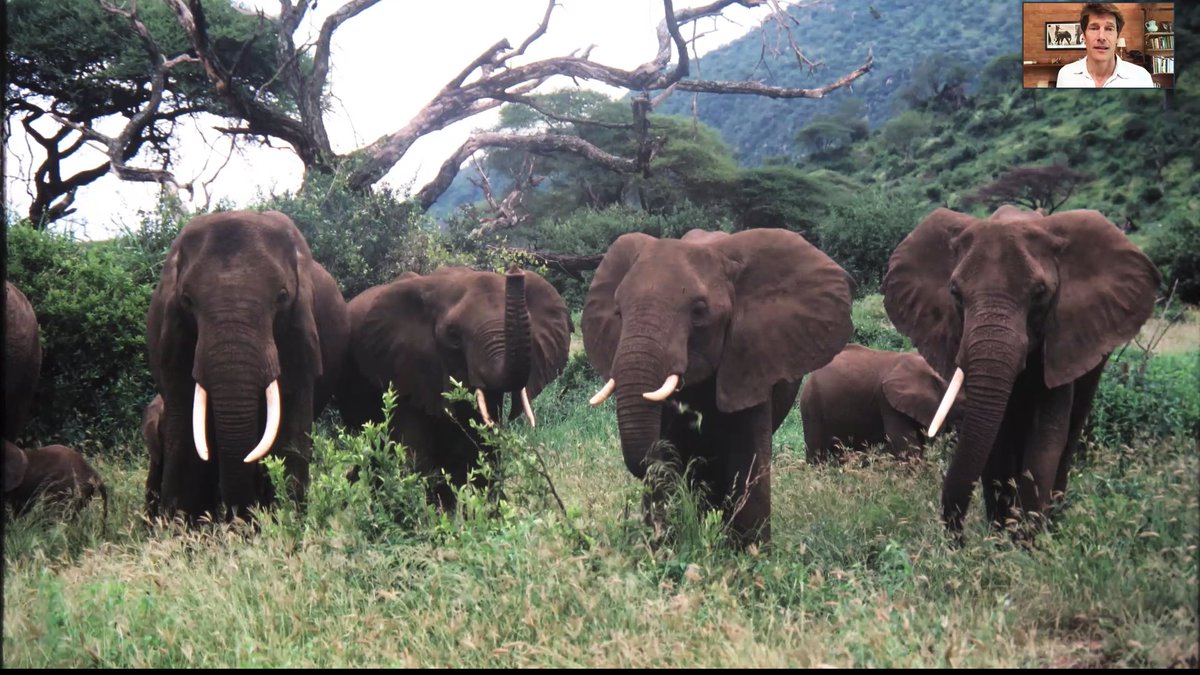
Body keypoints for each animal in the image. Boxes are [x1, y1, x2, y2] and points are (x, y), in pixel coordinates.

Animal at [145, 210, 350, 523]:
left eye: (282, 296)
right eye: (187, 301)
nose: (242, 519)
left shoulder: (300, 336)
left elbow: (289, 435)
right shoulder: (174, 340)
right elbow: (186, 435)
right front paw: (179, 528)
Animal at [582, 228, 853, 547]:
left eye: (699, 311)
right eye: (618, 313)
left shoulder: (750, 360)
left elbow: (747, 458)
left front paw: (749, 552)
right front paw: (663, 546)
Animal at [882, 205, 1160, 538]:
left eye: (1039, 293)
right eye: (955, 293)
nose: (956, 540)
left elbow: (1045, 440)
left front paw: (1028, 540)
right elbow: (996, 444)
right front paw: (1001, 536)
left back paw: (1054, 520)